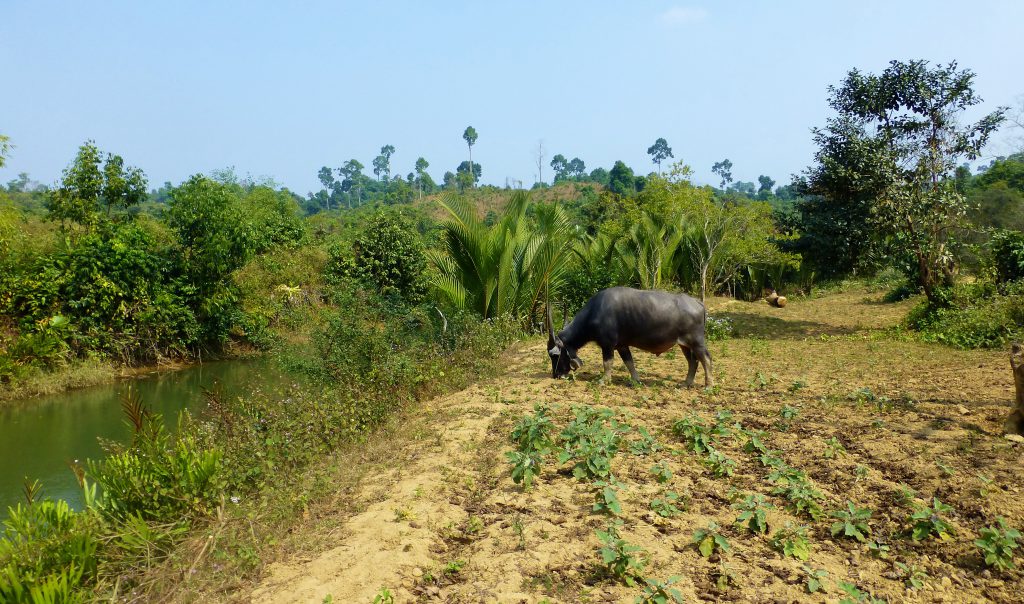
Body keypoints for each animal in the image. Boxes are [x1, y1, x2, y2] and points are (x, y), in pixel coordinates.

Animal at [544, 286, 712, 389]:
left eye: (554, 355)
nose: (556, 375)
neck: (595, 311)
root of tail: (698, 302)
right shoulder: (622, 345)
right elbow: (629, 362)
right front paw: (636, 380)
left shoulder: (608, 345)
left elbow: (607, 363)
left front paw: (604, 380)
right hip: (684, 344)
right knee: (693, 361)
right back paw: (686, 383)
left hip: (696, 342)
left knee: (706, 359)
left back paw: (708, 385)